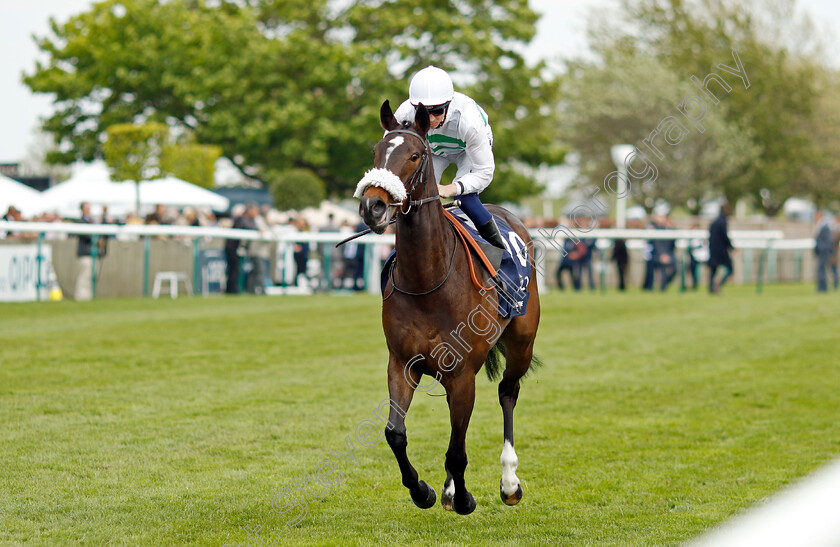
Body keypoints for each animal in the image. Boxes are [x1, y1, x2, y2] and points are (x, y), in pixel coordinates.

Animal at [356, 100, 540, 516]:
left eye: (414, 155)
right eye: (375, 152)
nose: (373, 205)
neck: (428, 282)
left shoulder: (463, 373)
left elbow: (457, 449)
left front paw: (465, 497)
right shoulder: (402, 362)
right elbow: (395, 433)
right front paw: (422, 490)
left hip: (522, 342)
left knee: (508, 392)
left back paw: (509, 482)